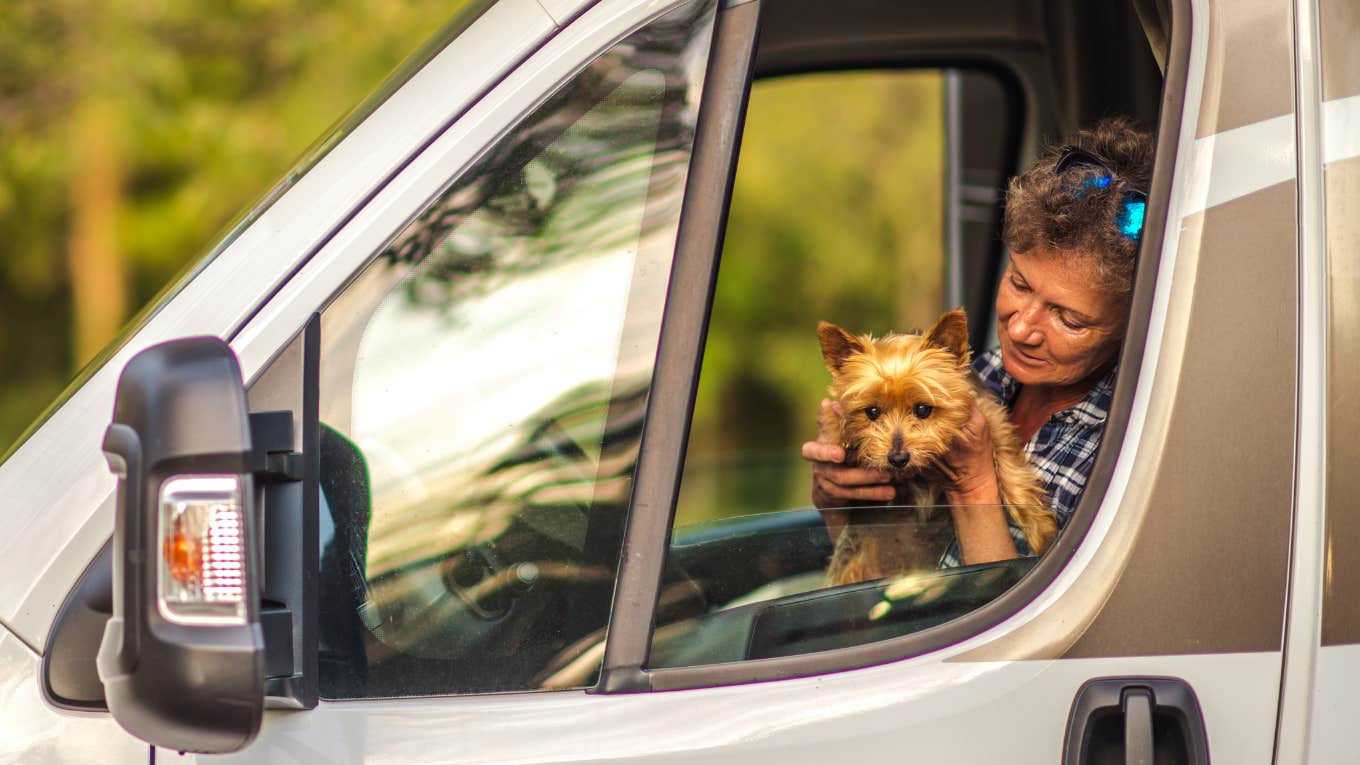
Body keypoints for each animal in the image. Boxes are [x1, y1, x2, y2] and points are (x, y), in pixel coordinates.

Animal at [810, 306, 1055, 579]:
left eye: (923, 409)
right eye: (872, 412)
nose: (897, 458)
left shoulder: (991, 419)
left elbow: (1013, 474)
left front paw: (1044, 534)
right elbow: (836, 421)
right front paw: (846, 435)